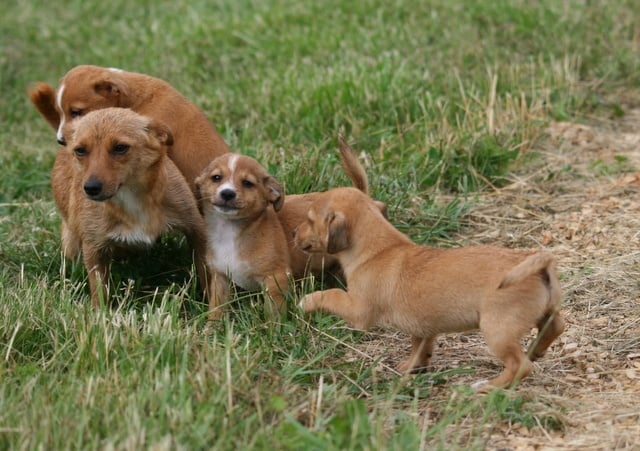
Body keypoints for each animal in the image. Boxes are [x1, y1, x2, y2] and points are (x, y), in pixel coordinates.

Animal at [53, 107, 208, 308]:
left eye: (120, 148)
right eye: (80, 150)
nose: (91, 188)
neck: (131, 197)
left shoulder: (196, 229)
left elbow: (207, 274)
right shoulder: (94, 249)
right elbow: (99, 291)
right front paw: (99, 313)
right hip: (71, 245)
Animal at [195, 139, 380, 320]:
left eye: (247, 183)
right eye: (216, 178)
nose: (227, 193)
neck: (231, 231)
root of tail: (361, 196)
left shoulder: (275, 278)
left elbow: (273, 314)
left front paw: (272, 328)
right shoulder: (220, 278)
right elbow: (216, 308)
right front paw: (211, 327)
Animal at [292, 188, 564, 392]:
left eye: (309, 220)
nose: (293, 232)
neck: (378, 249)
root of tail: (539, 263)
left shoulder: (358, 311)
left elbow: (332, 295)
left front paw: (307, 301)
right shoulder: (422, 327)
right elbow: (419, 347)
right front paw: (412, 366)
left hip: (497, 329)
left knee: (519, 365)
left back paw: (488, 386)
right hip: (544, 312)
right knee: (555, 328)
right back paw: (536, 350)